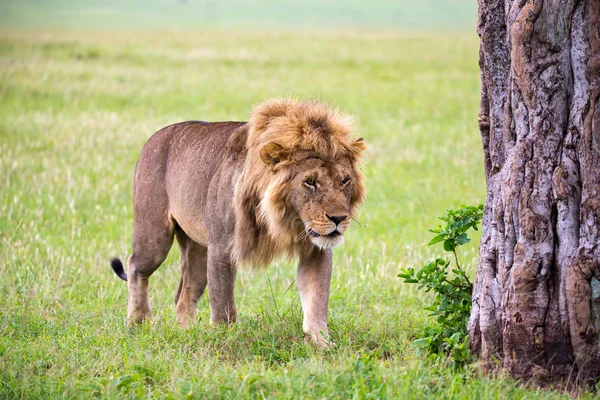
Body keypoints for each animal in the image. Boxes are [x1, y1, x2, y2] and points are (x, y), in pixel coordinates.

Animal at [110, 97, 368, 346]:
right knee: (135, 267)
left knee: (183, 296)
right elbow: (223, 304)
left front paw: (320, 344)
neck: (284, 217)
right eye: (310, 182)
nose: (339, 218)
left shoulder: (315, 251)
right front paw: (223, 340)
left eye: (345, 180)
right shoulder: (222, 248)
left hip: (198, 250)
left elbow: (316, 299)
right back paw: (138, 322)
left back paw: (188, 333)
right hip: (155, 237)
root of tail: (155, 136)